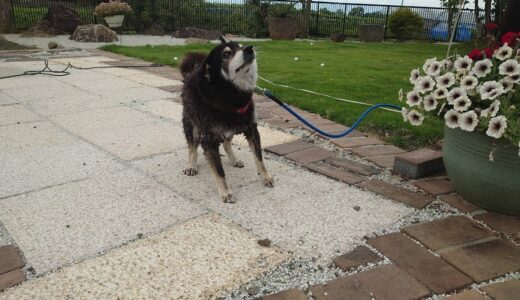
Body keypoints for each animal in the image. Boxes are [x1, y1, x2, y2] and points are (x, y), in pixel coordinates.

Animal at [180, 36, 274, 203]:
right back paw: (192, 165)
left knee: (226, 143)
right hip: (193, 126)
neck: (231, 98)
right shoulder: (209, 141)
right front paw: (226, 192)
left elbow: (259, 159)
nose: (249, 48)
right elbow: (219, 171)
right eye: (226, 54)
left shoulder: (252, 130)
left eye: (241, 46)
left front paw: (266, 177)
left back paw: (234, 159)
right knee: (192, 147)